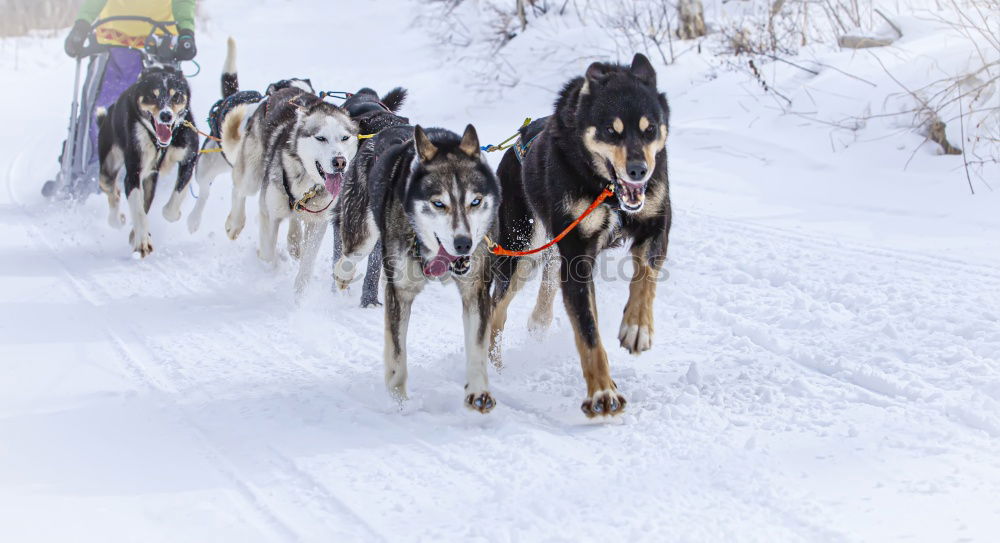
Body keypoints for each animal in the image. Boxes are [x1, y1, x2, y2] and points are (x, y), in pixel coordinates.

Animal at [96, 62, 199, 258]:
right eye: (153, 95)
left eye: (176, 95)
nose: (166, 115)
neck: (160, 144)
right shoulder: (133, 175)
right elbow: (139, 213)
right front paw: (142, 243)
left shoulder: (188, 160)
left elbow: (171, 206)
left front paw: (174, 214)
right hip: (109, 167)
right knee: (112, 190)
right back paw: (118, 219)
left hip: (150, 179)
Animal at [336, 123, 504, 412]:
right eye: (438, 203)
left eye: (475, 201)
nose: (464, 244)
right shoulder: (400, 292)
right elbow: (397, 355)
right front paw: (400, 403)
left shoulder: (475, 289)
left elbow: (477, 345)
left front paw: (479, 391)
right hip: (363, 234)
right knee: (348, 256)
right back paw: (343, 275)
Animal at [490, 54, 672, 420]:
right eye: (611, 131)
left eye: (650, 129)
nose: (639, 171)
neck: (608, 190)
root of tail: (517, 141)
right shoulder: (577, 256)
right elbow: (588, 332)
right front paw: (602, 393)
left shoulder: (657, 224)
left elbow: (645, 278)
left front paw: (637, 328)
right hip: (519, 251)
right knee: (494, 310)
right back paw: (493, 364)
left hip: (540, 253)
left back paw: (538, 320)